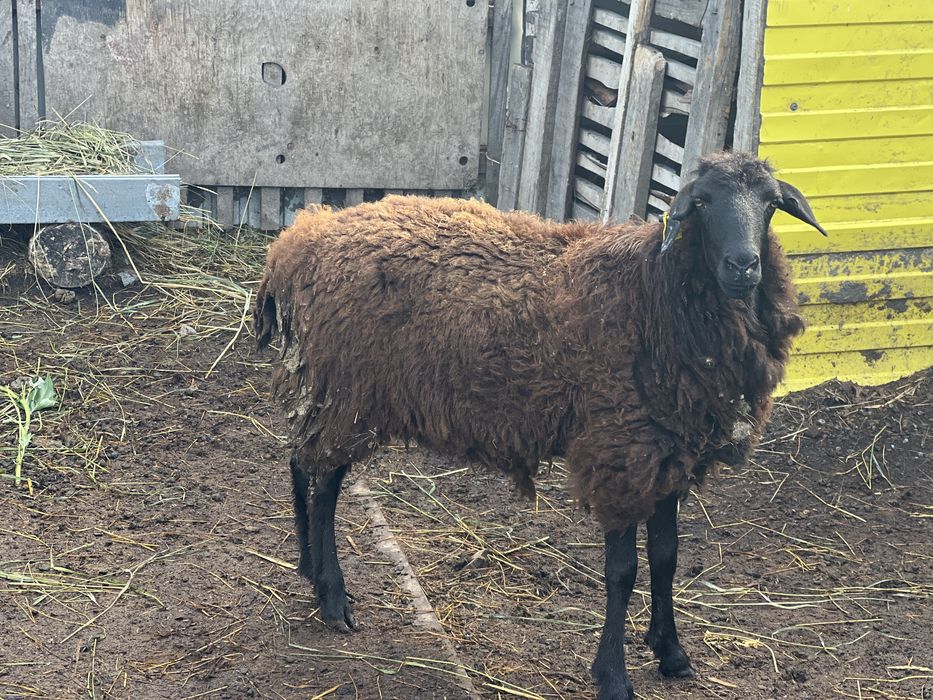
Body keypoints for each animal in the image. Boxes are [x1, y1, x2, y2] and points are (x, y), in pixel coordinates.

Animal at [254, 151, 826, 700]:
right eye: (702, 202)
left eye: (771, 203)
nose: (743, 265)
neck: (655, 292)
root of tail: (299, 239)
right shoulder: (620, 453)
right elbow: (623, 572)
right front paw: (613, 677)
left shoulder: (669, 452)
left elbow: (666, 559)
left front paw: (672, 654)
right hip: (346, 389)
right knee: (323, 484)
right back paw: (332, 598)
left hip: (330, 389)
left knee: (302, 464)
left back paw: (308, 570)